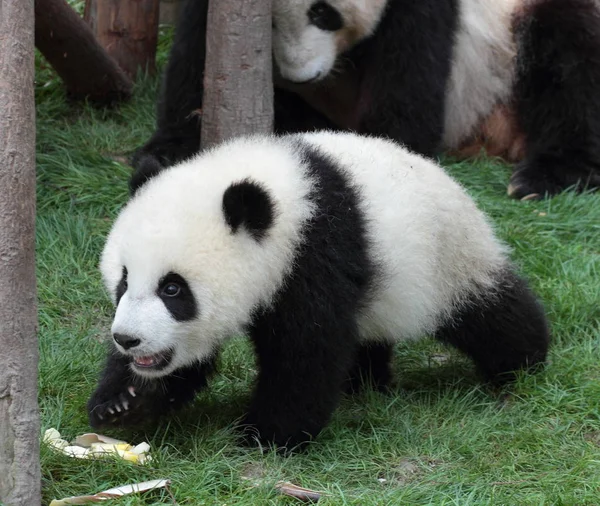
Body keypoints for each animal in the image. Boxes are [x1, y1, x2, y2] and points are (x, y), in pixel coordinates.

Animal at [89, 131, 548, 450]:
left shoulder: (315, 252)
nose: (128, 338)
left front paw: (265, 434)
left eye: (172, 288)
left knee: (490, 314)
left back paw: (525, 363)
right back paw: (364, 382)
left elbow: (308, 347)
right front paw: (122, 403)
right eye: (124, 280)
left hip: (449, 260)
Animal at [131, 0, 600, 200]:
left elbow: (407, 98)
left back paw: (548, 175)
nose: (303, 76)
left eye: (323, 13)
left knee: (571, 50)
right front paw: (166, 155)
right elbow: (198, 50)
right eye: (268, 23)